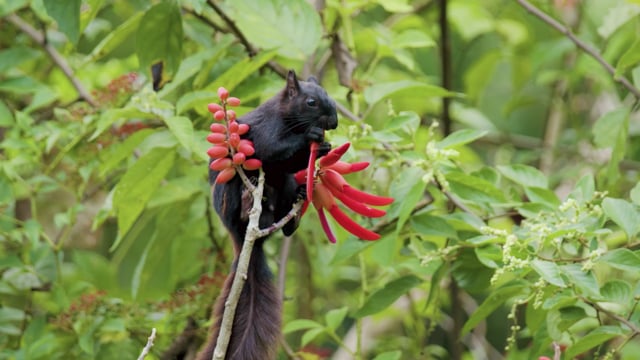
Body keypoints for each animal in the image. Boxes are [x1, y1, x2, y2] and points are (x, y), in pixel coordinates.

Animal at [199, 71, 340, 360]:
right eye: (311, 102)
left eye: (328, 95)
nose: (334, 121)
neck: (288, 121)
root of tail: (247, 239)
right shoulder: (265, 133)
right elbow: (271, 150)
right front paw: (312, 136)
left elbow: (289, 161)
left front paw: (325, 146)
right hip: (227, 190)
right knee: (237, 203)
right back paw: (245, 205)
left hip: (283, 187)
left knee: (284, 212)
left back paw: (295, 211)